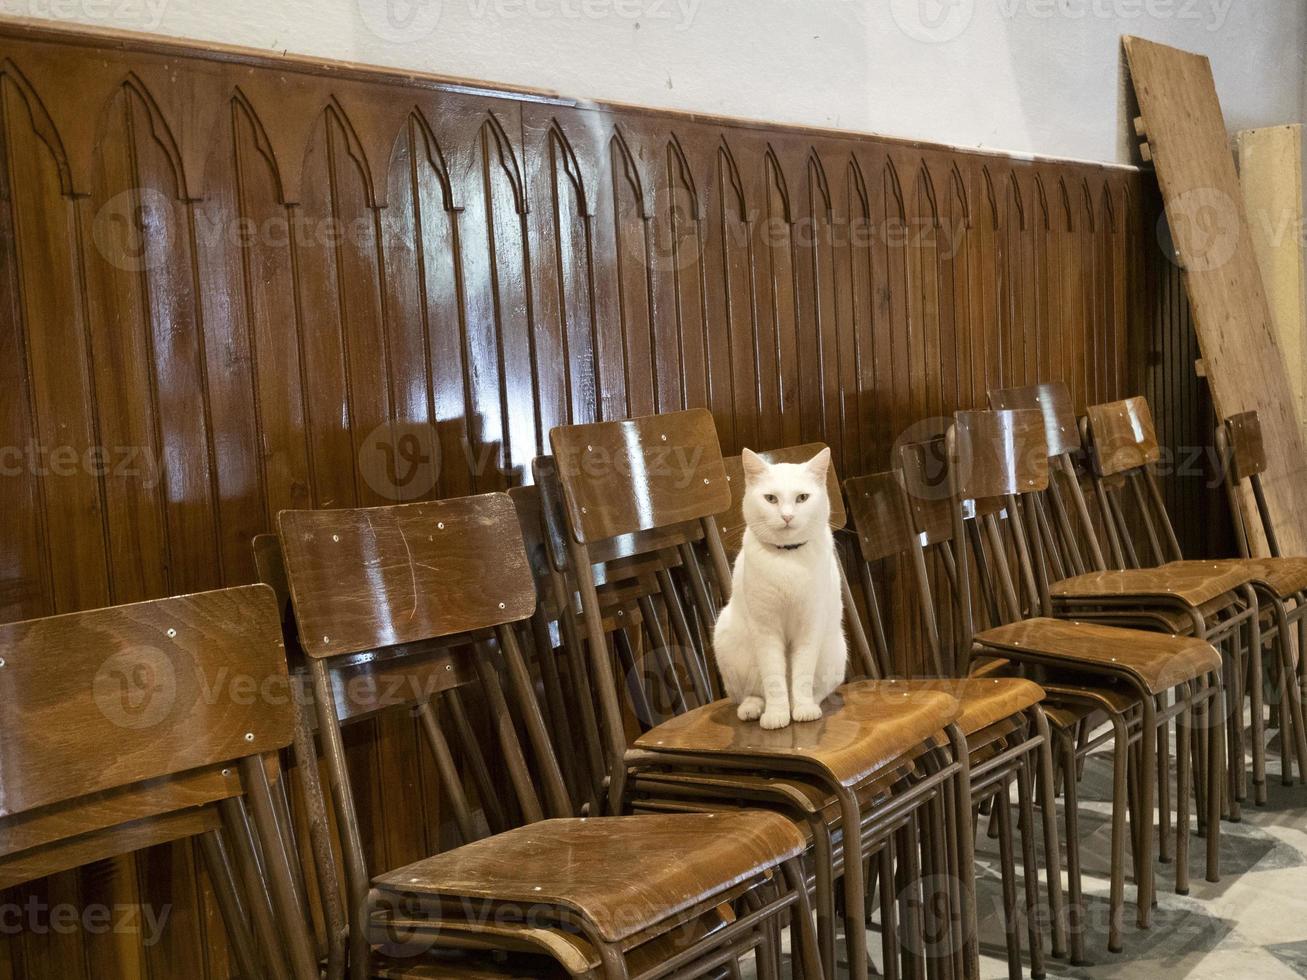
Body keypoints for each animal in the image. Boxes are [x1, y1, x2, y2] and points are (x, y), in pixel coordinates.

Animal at [716, 449, 846, 731]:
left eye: (802, 498)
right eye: (771, 498)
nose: (787, 516)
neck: (787, 558)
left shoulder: (810, 627)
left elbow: (802, 675)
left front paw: (803, 709)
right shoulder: (766, 630)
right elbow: (774, 680)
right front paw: (777, 715)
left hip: (835, 651)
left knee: (817, 689)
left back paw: (806, 704)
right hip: (727, 640)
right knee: (751, 693)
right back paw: (752, 709)